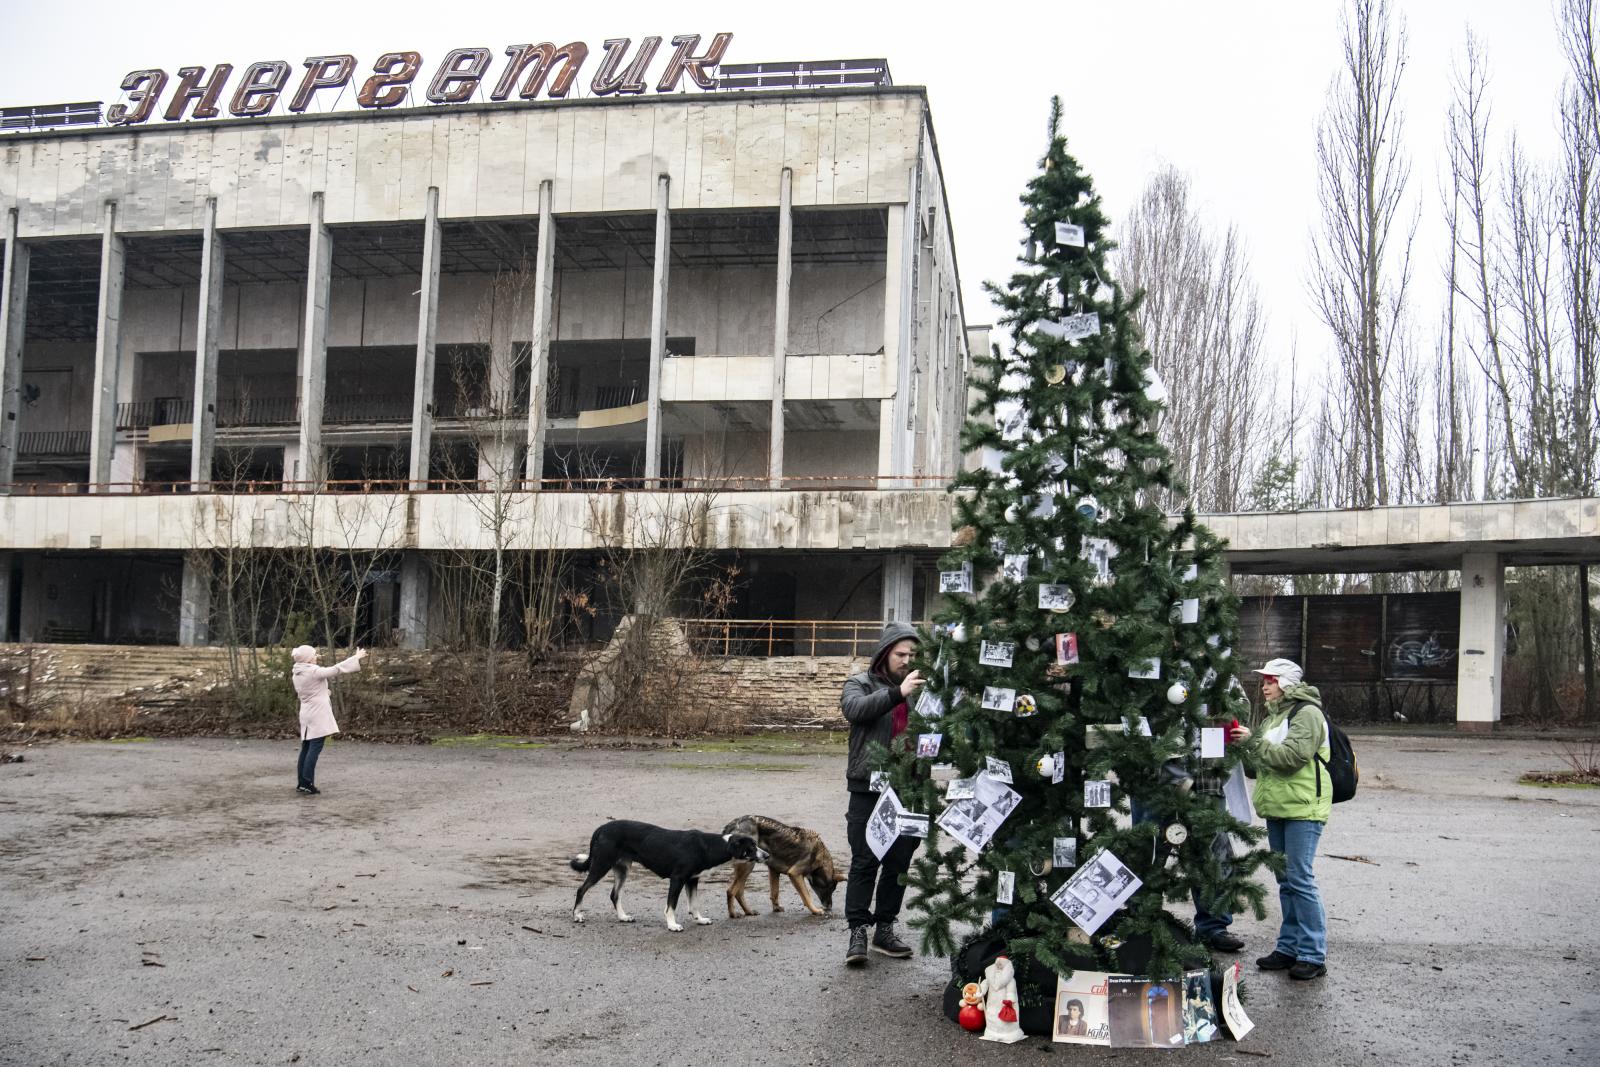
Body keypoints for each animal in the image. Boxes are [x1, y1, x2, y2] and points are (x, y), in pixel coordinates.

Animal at [569, 825, 761, 927]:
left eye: (756, 844)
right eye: (751, 847)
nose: (765, 855)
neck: (707, 846)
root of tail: (601, 828)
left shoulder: (692, 880)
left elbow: (694, 903)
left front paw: (699, 919)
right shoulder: (677, 879)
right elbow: (671, 905)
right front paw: (672, 925)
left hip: (622, 870)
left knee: (614, 895)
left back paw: (623, 917)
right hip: (601, 866)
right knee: (581, 890)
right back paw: (577, 915)